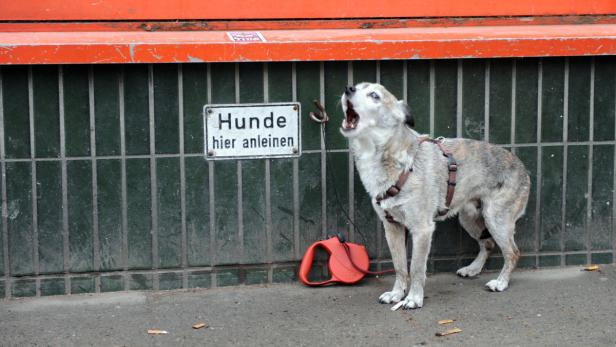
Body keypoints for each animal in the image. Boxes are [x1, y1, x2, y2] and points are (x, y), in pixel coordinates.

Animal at [340, 82, 532, 310]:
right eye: (357, 86)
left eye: (374, 95)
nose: (348, 89)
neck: (396, 161)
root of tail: (523, 168)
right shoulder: (392, 227)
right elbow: (399, 266)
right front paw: (396, 294)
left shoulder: (422, 230)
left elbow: (416, 268)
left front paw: (413, 298)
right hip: (469, 218)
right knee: (488, 244)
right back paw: (473, 269)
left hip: (496, 219)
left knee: (512, 252)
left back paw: (501, 282)